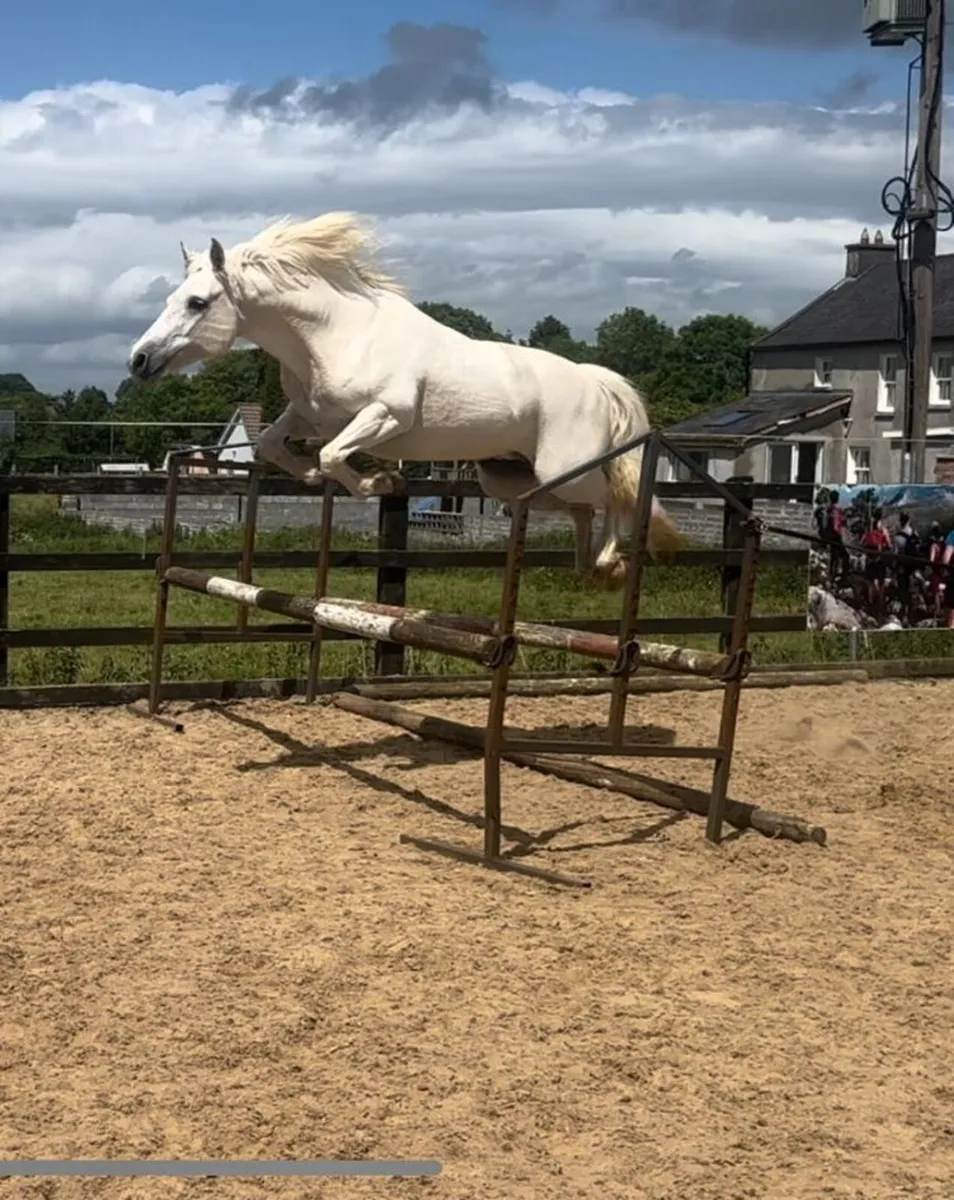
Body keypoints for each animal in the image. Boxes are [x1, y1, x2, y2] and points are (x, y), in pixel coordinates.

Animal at [127, 211, 681, 584]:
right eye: (172, 299)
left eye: (198, 303)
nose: (139, 360)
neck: (333, 334)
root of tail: (595, 382)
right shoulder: (310, 416)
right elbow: (276, 448)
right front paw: (343, 479)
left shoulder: (384, 415)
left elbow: (333, 456)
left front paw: (381, 479)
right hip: (511, 479)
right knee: (581, 509)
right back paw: (588, 568)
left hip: (563, 467)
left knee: (617, 497)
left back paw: (611, 563)